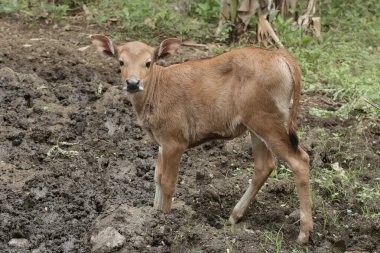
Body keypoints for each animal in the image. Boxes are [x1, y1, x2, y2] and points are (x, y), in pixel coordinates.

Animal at [91, 35, 312, 243]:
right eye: (121, 62)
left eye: (148, 62)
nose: (133, 83)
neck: (157, 90)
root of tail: (278, 55)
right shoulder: (162, 142)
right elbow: (157, 177)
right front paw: (154, 213)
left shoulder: (175, 142)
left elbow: (168, 182)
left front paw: (165, 219)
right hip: (256, 127)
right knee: (264, 166)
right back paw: (234, 216)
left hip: (268, 122)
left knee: (300, 161)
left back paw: (304, 233)